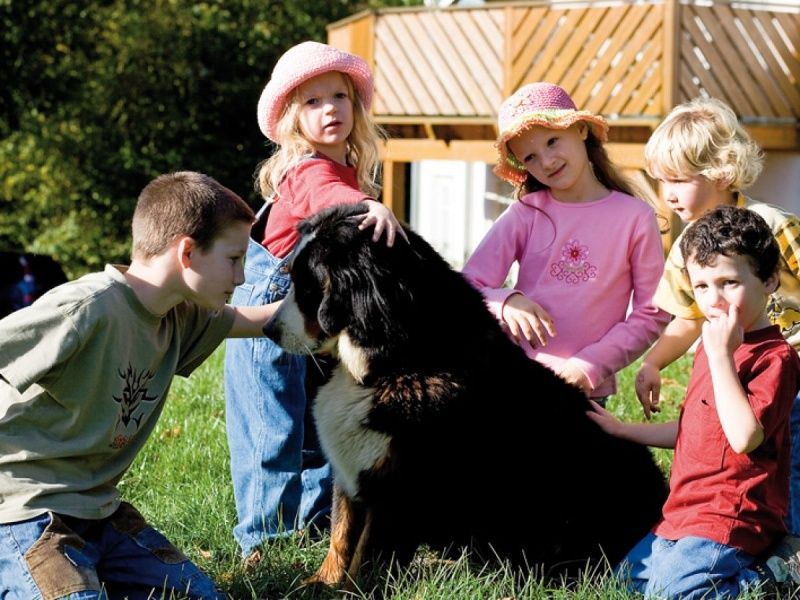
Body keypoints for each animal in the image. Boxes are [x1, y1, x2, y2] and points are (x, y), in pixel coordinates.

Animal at [264, 202, 668, 584]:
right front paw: (319, 583)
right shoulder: (351, 475)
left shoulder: (397, 489)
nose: (268, 329)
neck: (388, 363)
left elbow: (366, 556)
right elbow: (341, 535)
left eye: (308, 286)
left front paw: (350, 590)